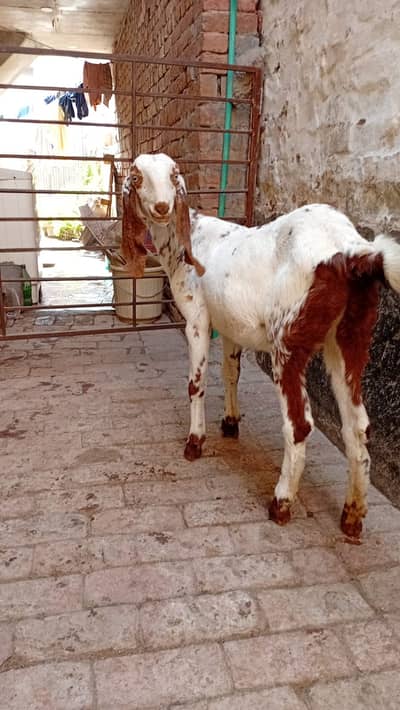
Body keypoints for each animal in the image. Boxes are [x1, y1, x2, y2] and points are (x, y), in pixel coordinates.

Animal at [121, 152, 400, 538]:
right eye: (136, 177)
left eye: (174, 176)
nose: (162, 207)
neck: (189, 241)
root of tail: (353, 251)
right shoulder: (231, 325)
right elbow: (230, 372)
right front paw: (230, 423)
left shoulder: (197, 318)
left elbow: (197, 382)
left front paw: (195, 441)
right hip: (351, 337)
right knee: (358, 425)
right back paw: (353, 516)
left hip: (288, 342)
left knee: (299, 425)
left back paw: (281, 502)